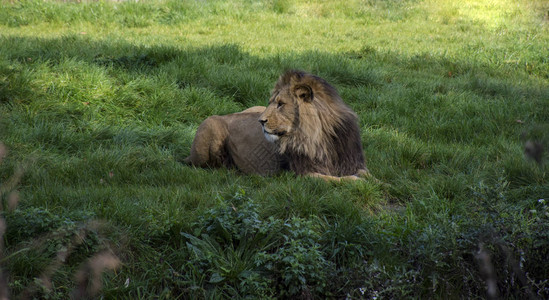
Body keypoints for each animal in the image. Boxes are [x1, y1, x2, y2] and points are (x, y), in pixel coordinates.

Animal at [186, 71, 370, 180]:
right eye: (271, 103)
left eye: (281, 104)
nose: (260, 121)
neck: (322, 137)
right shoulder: (304, 173)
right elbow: (340, 179)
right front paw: (357, 181)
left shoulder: (352, 161)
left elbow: (366, 173)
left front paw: (373, 181)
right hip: (210, 123)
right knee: (208, 166)